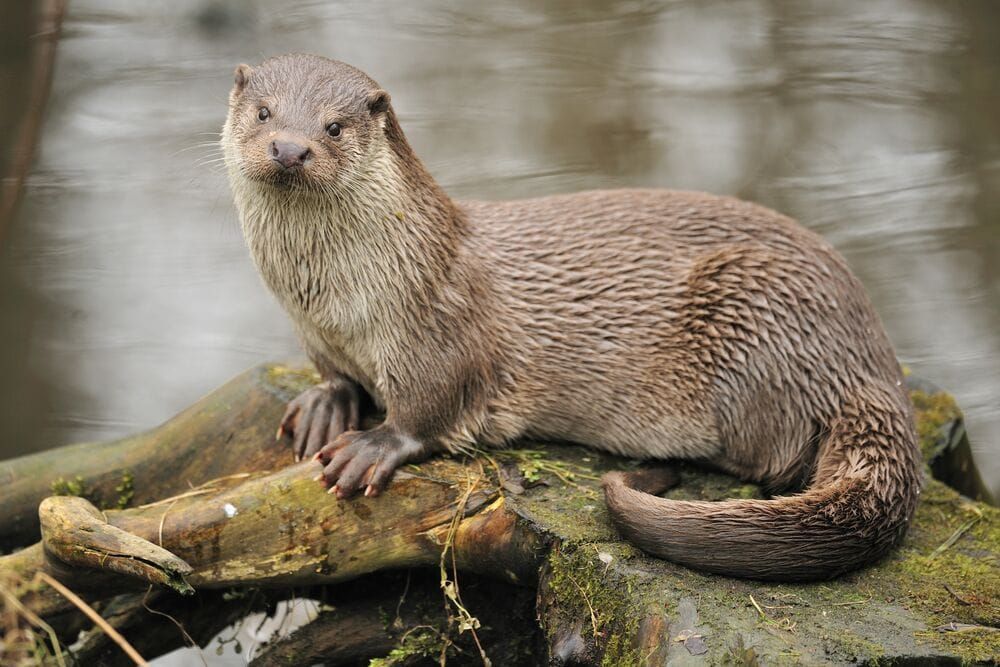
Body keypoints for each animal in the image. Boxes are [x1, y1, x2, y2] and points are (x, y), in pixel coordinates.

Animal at [221, 53, 921, 582]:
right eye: (264, 112)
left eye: (336, 127)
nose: (290, 148)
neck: (337, 299)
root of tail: (870, 364)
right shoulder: (318, 334)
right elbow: (334, 374)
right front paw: (326, 404)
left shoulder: (440, 325)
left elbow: (430, 407)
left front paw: (372, 446)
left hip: (757, 306)